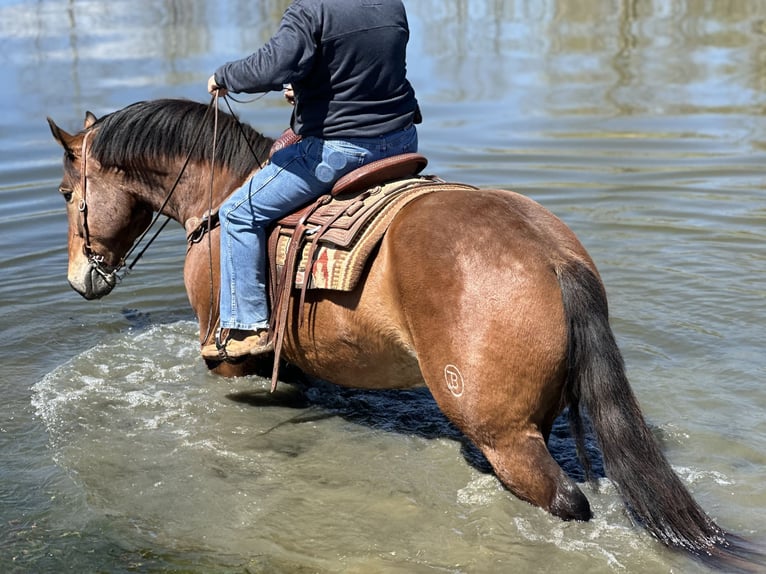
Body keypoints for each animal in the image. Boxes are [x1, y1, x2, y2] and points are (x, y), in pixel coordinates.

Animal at [48, 99, 760, 572]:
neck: (219, 200)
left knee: (563, 501)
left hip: (504, 436)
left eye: (64, 192)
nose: (83, 277)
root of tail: (552, 255)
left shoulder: (225, 362)